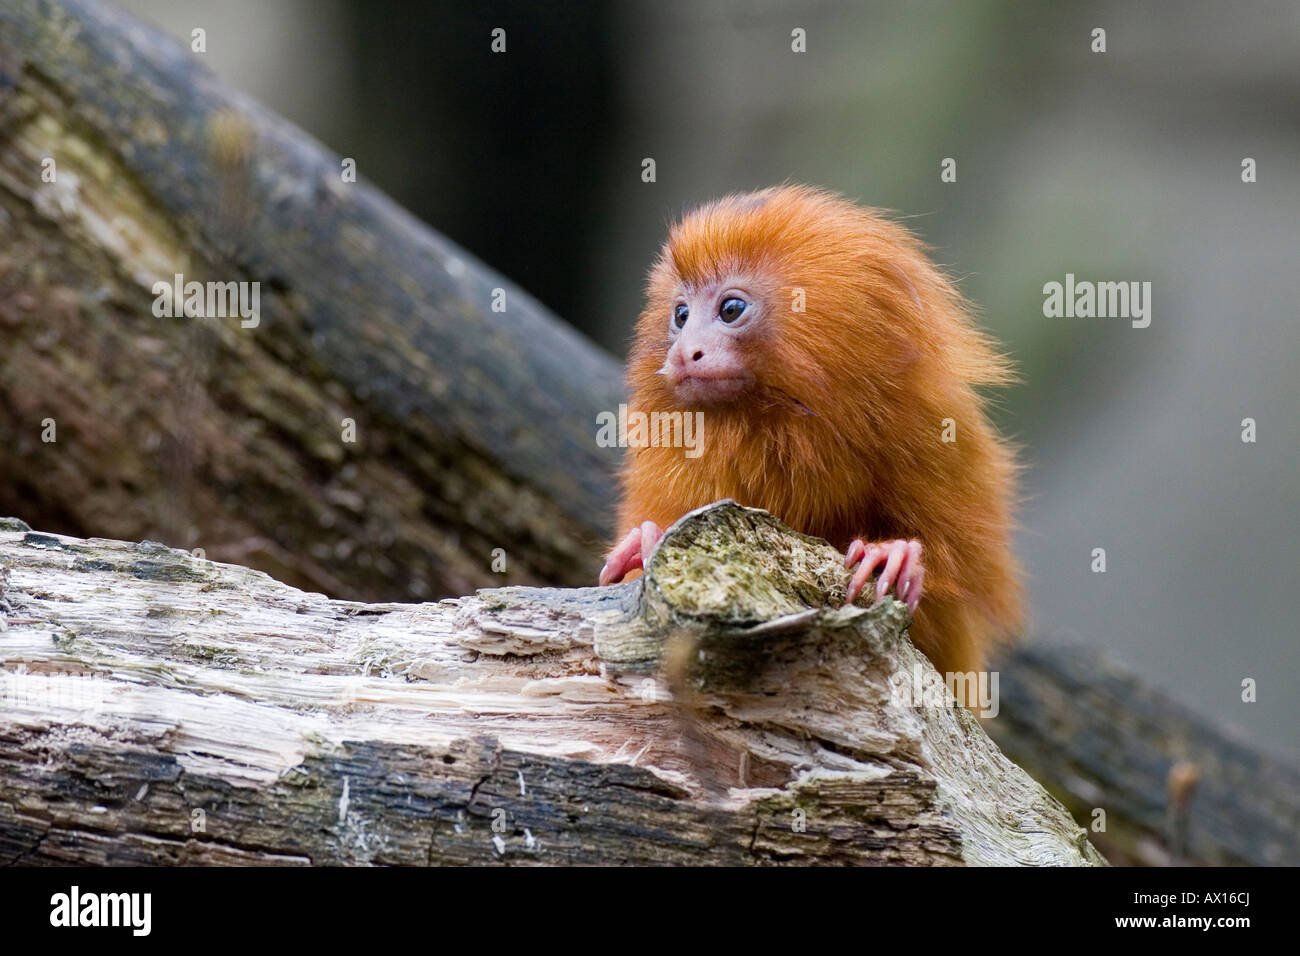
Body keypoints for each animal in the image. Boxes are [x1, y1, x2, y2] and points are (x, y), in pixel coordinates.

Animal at [600, 183, 1024, 686]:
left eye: (730, 309)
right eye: (681, 315)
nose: (685, 353)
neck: (783, 423)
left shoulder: (940, 434)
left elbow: (966, 584)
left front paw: (898, 555)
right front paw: (645, 542)